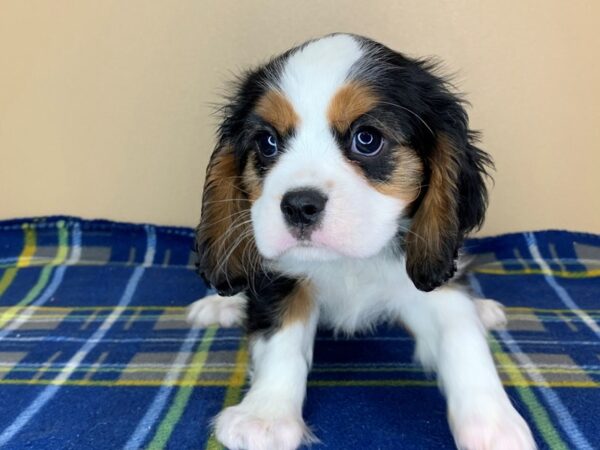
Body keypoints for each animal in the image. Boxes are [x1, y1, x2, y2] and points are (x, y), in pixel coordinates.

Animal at [189, 33, 536, 448]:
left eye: (367, 139)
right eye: (268, 143)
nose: (299, 205)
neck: (348, 263)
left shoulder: (429, 279)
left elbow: (463, 337)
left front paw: (495, 424)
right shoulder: (279, 276)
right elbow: (281, 338)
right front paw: (265, 416)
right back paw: (220, 305)